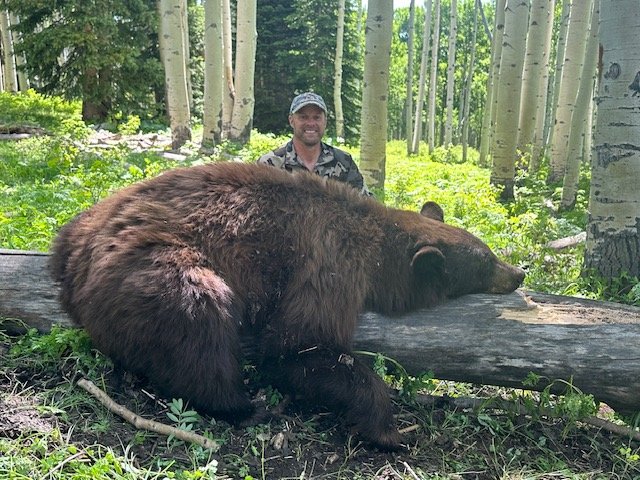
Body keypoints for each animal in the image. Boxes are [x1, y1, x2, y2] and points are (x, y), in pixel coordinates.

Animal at [49, 161, 525, 450]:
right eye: (485, 262)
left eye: (487, 248)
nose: (518, 272)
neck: (377, 252)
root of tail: (71, 265)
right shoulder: (331, 266)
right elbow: (296, 347)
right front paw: (390, 430)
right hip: (149, 263)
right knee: (198, 315)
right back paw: (244, 404)